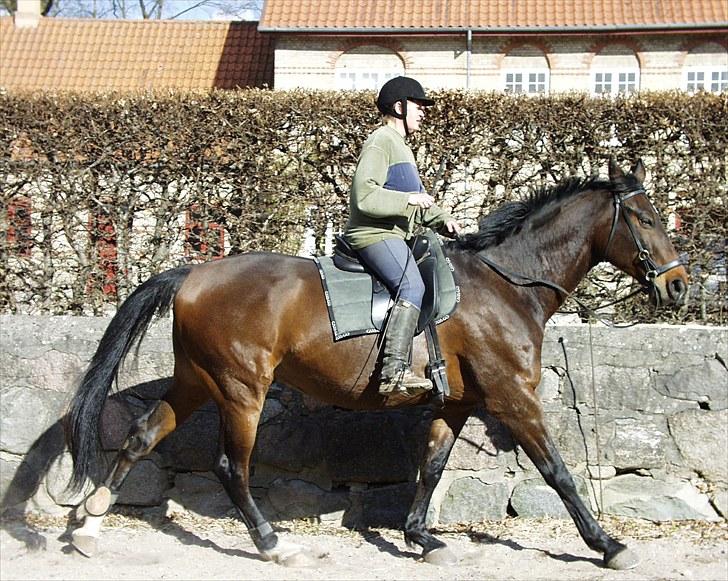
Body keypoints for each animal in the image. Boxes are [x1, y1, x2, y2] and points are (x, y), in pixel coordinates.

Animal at [65, 157, 684, 568]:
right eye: (646, 218)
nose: (678, 287)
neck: (507, 285)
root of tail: (193, 273)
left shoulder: (457, 403)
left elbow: (431, 467)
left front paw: (419, 537)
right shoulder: (513, 397)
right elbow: (557, 471)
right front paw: (607, 545)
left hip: (198, 380)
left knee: (142, 435)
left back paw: (89, 525)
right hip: (242, 389)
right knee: (230, 467)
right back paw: (273, 544)